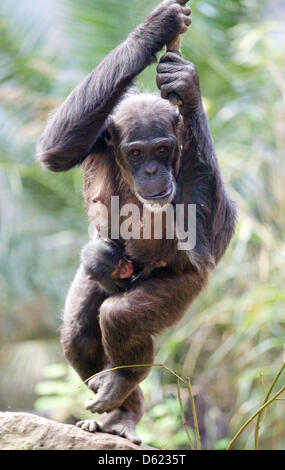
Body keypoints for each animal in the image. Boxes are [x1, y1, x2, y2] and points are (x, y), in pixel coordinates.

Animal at [36, 0, 234, 442]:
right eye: (137, 152)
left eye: (162, 149)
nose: (152, 171)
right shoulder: (95, 136)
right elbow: (55, 149)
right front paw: (155, 28)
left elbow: (213, 232)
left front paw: (187, 87)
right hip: (103, 274)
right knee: (77, 329)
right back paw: (118, 410)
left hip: (186, 287)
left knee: (121, 314)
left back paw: (123, 386)